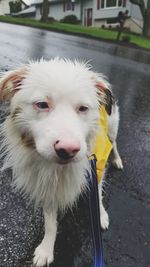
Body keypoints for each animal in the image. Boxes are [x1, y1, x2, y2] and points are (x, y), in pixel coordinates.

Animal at [0, 59, 122, 267]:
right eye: (42, 104)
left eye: (83, 108)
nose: (68, 149)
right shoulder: (46, 184)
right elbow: (50, 222)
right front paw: (46, 249)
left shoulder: (96, 165)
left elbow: (97, 194)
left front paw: (101, 215)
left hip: (112, 128)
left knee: (114, 143)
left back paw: (117, 159)